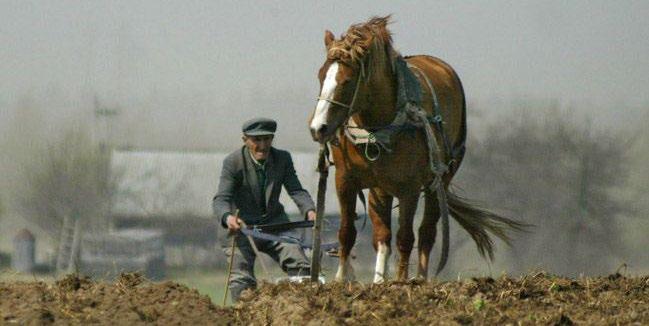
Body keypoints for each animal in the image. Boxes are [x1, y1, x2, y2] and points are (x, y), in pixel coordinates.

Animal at [308, 15, 520, 282]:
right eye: (320, 75)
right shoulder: (345, 180)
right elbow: (347, 233)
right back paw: (379, 279)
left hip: (439, 182)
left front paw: (400, 282)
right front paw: (341, 280)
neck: (378, 129)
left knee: (426, 232)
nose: (318, 128)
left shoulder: (408, 189)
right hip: (380, 188)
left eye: (346, 81)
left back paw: (419, 277)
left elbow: (406, 239)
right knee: (382, 236)